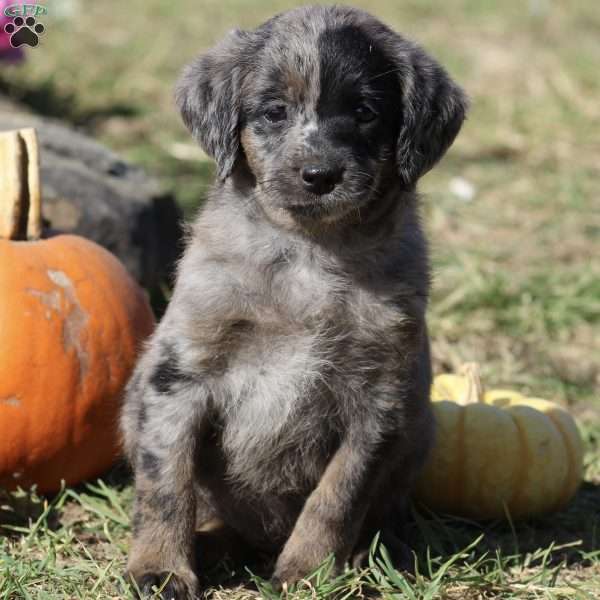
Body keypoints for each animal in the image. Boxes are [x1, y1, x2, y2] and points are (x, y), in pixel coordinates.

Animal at [122, 5, 466, 600]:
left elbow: (336, 497)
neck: (308, 253)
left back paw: (375, 556)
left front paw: (308, 572)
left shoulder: (378, 401)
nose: (319, 175)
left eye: (365, 112)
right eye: (274, 112)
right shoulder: (180, 376)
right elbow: (165, 483)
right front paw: (161, 568)